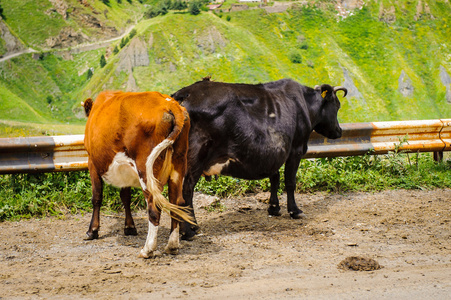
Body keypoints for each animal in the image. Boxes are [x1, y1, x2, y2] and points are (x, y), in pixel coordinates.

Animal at [84, 90, 193, 256]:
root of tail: (170, 104)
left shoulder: (92, 163)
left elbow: (96, 197)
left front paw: (92, 231)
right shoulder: (124, 172)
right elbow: (125, 197)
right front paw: (129, 227)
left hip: (146, 168)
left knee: (154, 207)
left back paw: (147, 250)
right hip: (179, 163)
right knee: (177, 203)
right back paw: (172, 246)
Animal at [171, 77, 348, 239]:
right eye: (337, 105)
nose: (339, 131)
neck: (304, 104)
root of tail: (183, 94)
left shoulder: (273, 153)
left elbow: (275, 177)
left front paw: (274, 208)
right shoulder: (296, 149)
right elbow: (290, 182)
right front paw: (295, 211)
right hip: (195, 157)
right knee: (186, 190)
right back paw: (189, 230)